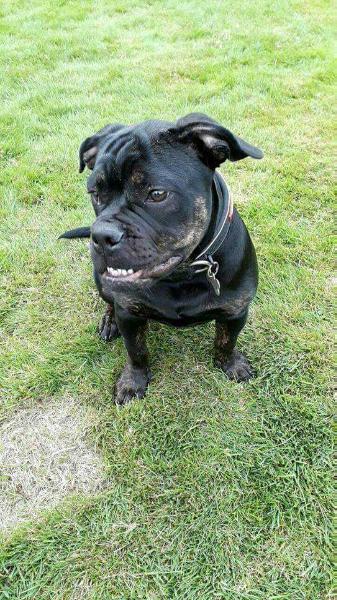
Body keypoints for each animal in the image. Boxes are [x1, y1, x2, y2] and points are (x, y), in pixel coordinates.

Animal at [61, 113, 262, 404]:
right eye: (95, 193)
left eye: (156, 194)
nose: (101, 235)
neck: (180, 275)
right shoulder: (129, 314)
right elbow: (136, 351)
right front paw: (133, 381)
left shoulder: (235, 311)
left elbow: (226, 341)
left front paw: (231, 364)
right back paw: (110, 322)